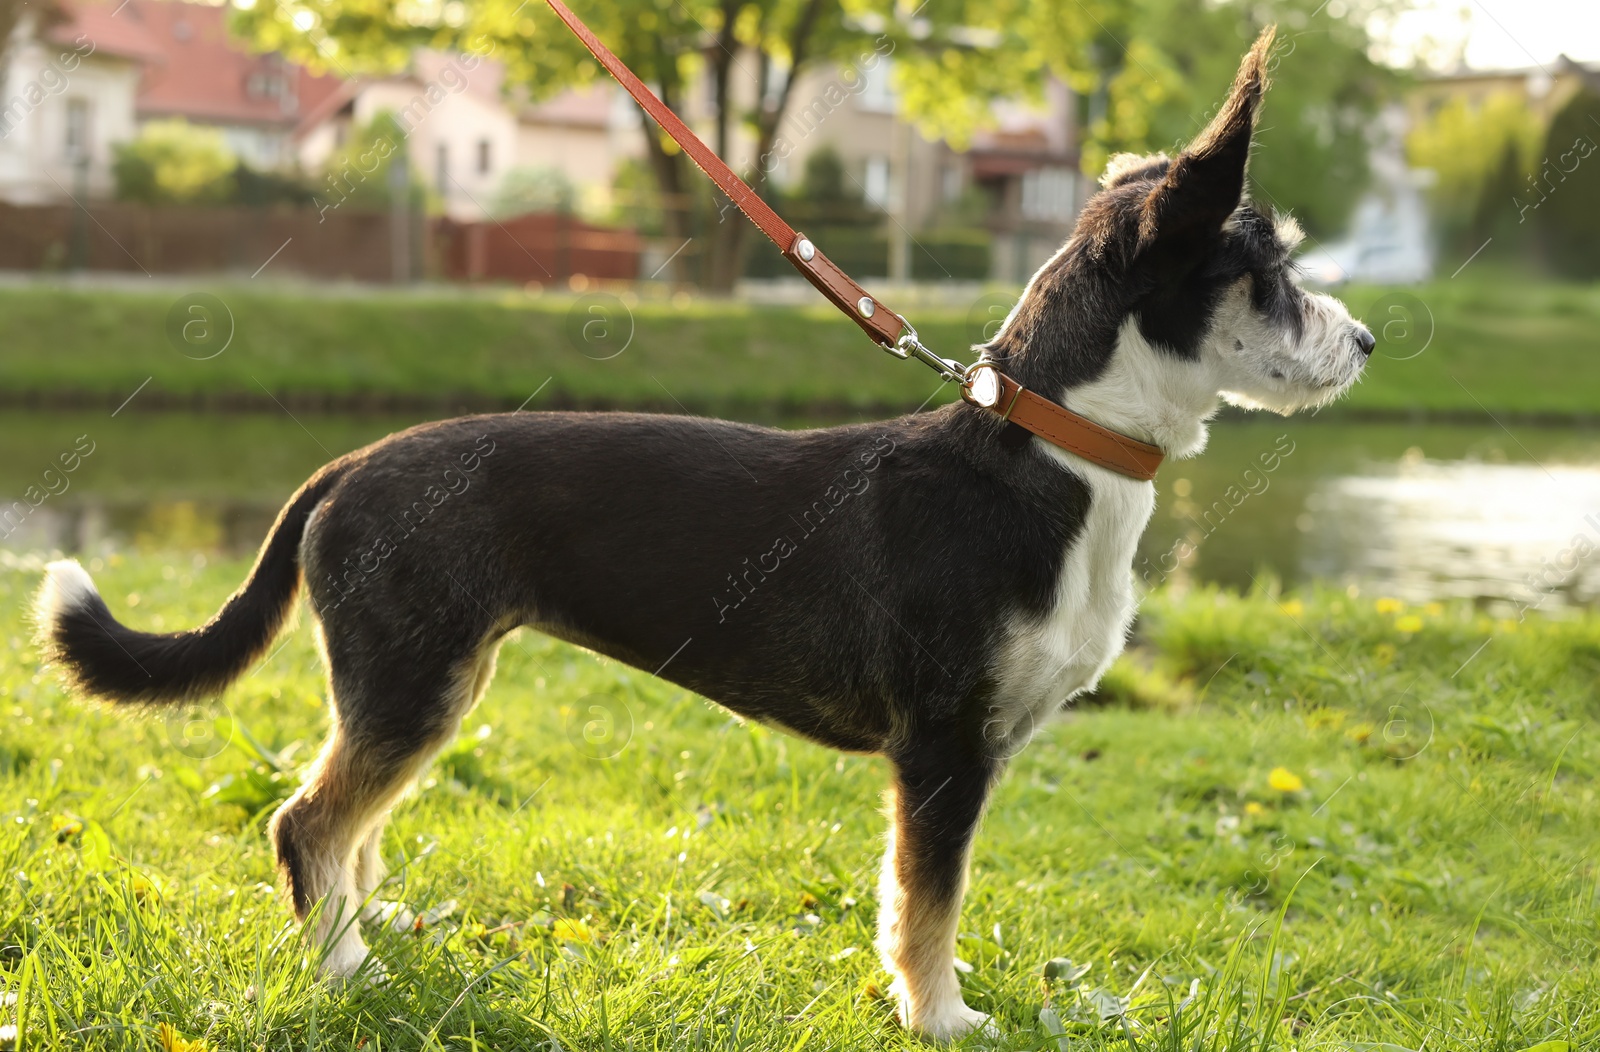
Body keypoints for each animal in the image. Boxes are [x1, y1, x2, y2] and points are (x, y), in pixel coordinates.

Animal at [34, 28, 1363, 1036]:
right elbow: (925, 908)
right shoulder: (939, 749)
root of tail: (345, 464)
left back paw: (371, 938)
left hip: (411, 685)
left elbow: (918, 902)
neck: (1050, 452)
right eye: (1270, 271)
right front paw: (940, 1018)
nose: (1362, 342)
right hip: (413, 683)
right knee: (306, 822)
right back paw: (344, 972)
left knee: (348, 831)